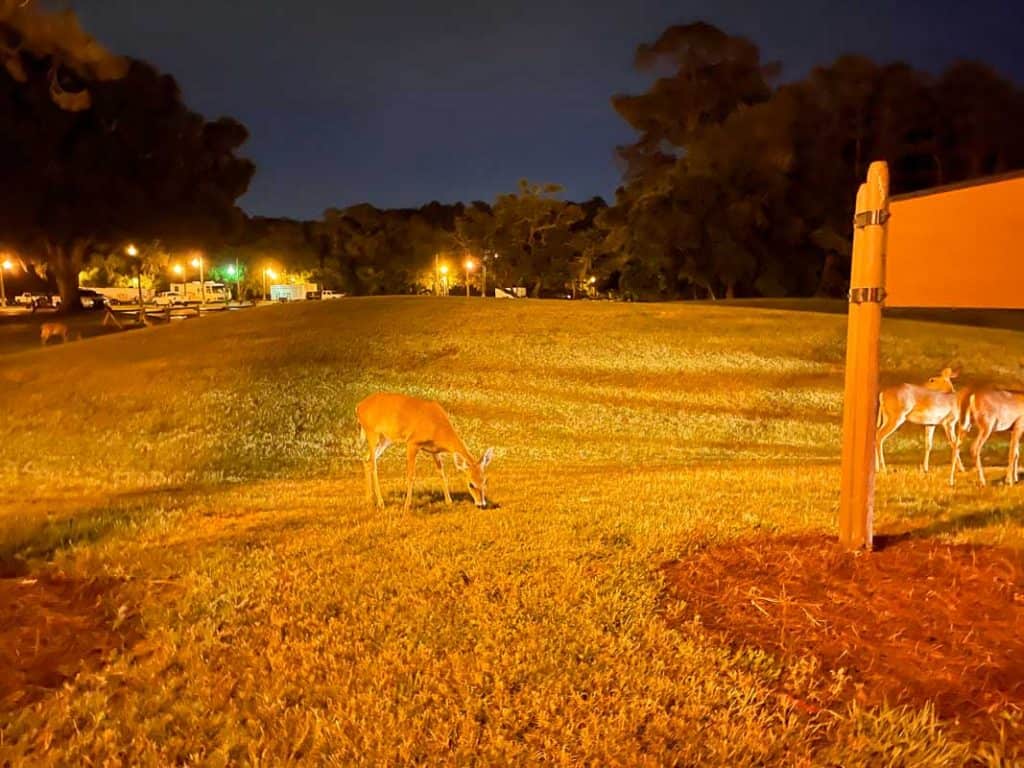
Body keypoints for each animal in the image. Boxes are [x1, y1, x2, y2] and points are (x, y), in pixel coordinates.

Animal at [356, 393, 495, 514]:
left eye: (485, 481)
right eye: (471, 484)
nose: (482, 504)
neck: (438, 428)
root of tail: (359, 407)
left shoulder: (434, 450)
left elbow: (442, 473)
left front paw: (449, 502)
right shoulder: (412, 443)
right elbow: (411, 476)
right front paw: (407, 506)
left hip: (385, 439)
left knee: (367, 460)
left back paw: (368, 500)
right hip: (372, 433)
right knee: (373, 465)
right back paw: (381, 503)